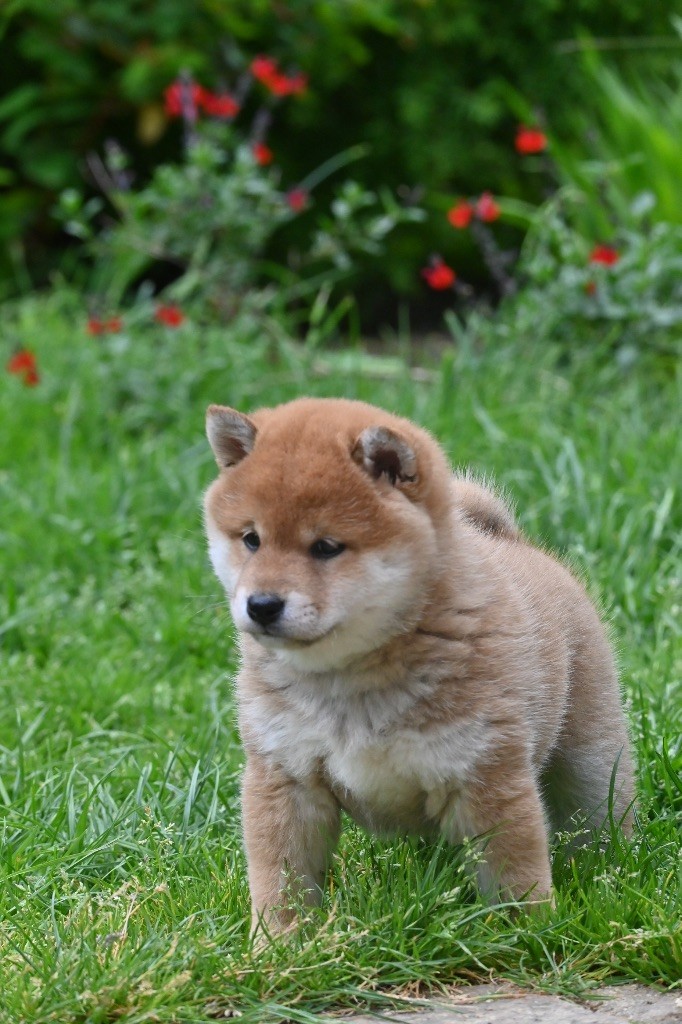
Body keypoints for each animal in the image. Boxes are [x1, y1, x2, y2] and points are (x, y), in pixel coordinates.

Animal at [203, 397, 635, 933]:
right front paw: (280, 944)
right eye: (251, 539)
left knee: (597, 812)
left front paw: (528, 935)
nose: (261, 604)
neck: (354, 679)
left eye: (326, 547)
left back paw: (608, 872)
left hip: (590, 755)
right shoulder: (285, 776)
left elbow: (515, 874)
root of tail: (516, 543)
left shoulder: (485, 773)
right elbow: (281, 882)